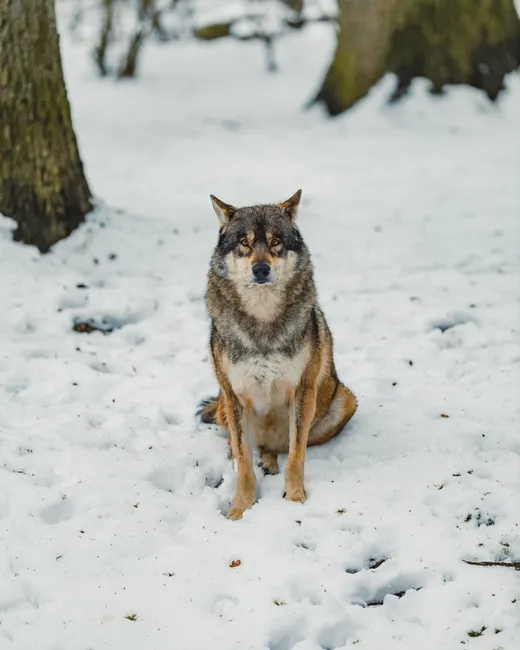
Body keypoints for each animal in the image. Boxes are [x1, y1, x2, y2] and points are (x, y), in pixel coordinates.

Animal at [198, 190, 357, 520]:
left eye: (275, 242)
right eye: (244, 242)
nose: (261, 269)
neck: (262, 321)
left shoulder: (302, 390)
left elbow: (296, 455)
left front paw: (295, 500)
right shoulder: (234, 394)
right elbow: (243, 463)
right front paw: (239, 510)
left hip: (344, 401)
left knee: (277, 447)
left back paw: (270, 462)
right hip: (225, 405)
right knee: (243, 445)